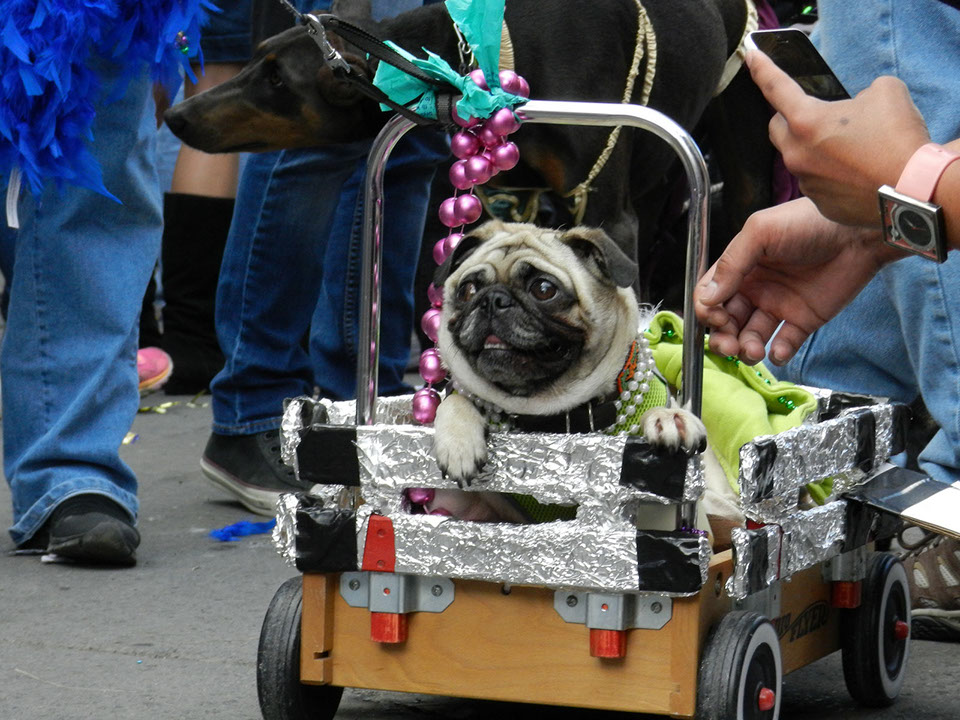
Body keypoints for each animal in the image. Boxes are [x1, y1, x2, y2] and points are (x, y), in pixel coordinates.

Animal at [420, 220, 741, 540]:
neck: (544, 409)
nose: (492, 300)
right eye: (467, 290)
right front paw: (459, 441)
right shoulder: (463, 508)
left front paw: (669, 418)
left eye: (544, 289)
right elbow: (454, 401)